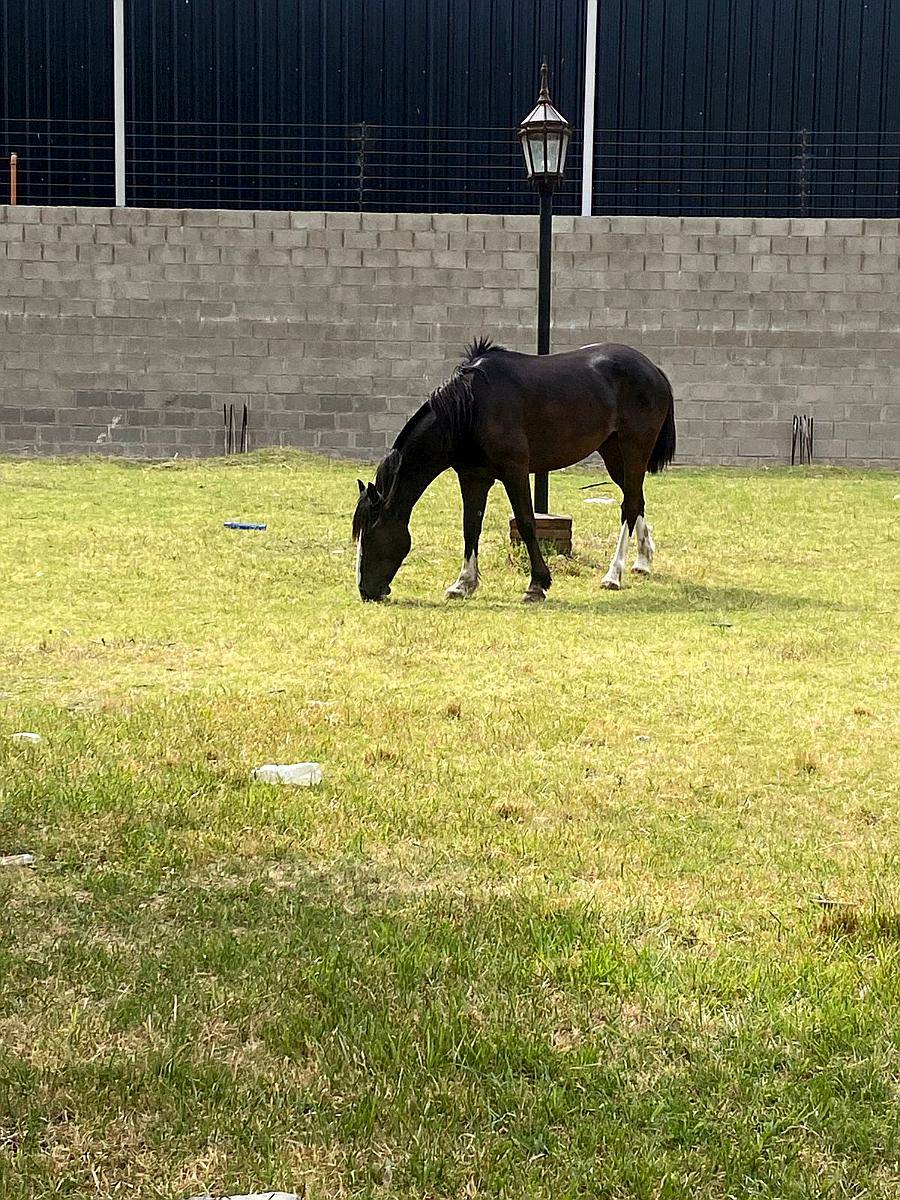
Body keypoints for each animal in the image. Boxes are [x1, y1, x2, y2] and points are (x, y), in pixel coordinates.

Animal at [352, 337, 676, 603]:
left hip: (634, 449)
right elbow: (471, 526)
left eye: (370, 534)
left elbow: (526, 522)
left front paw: (538, 585)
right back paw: (643, 562)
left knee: (629, 505)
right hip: (613, 454)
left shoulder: (515, 472)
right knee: (636, 500)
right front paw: (463, 584)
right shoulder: (473, 478)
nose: (366, 591)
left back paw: (613, 575)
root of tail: (653, 369)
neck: (472, 408)